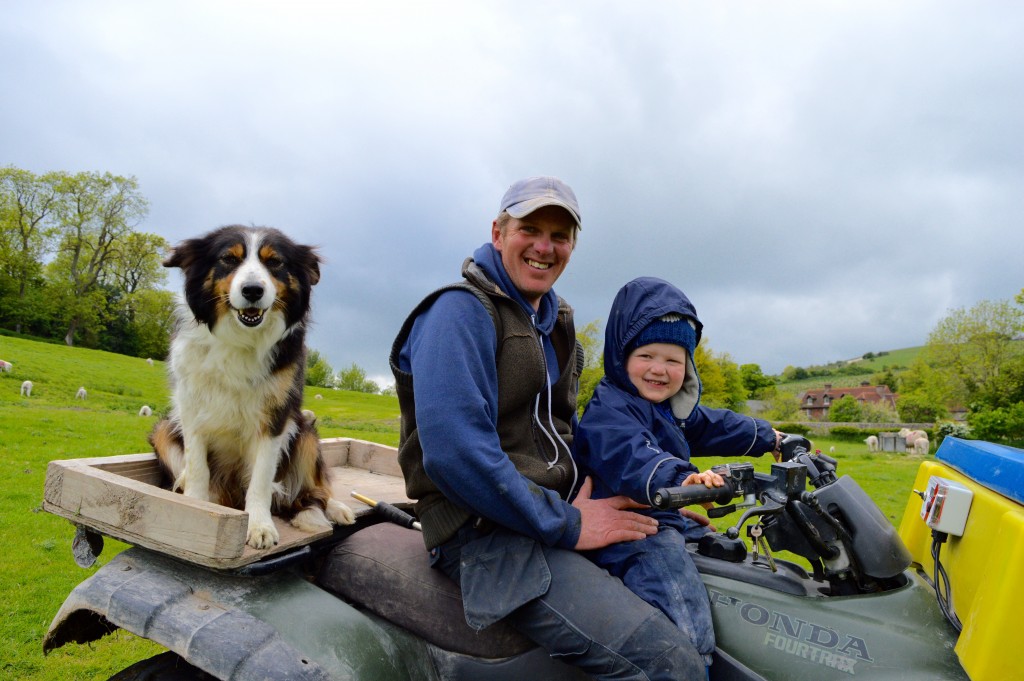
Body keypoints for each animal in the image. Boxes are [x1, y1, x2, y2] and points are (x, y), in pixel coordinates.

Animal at [148, 225, 356, 548]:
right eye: (229, 259)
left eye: (275, 262)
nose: (253, 290)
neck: (240, 338)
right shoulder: (191, 410)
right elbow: (197, 468)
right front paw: (195, 508)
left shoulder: (275, 418)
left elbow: (260, 480)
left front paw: (259, 526)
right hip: (162, 429)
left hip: (305, 431)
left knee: (314, 490)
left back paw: (335, 507)